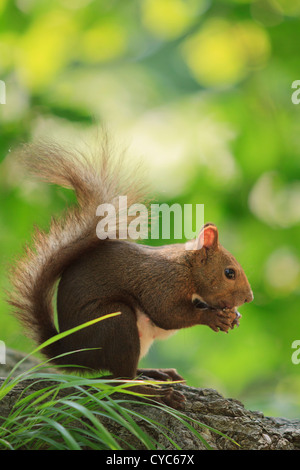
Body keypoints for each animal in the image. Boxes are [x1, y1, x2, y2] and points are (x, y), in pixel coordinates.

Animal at [8, 138, 253, 410]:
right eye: (229, 273)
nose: (249, 298)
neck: (187, 268)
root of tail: (74, 352)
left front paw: (234, 316)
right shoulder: (162, 283)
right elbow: (168, 314)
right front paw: (212, 317)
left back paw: (157, 374)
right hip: (116, 323)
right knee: (120, 380)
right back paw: (157, 393)